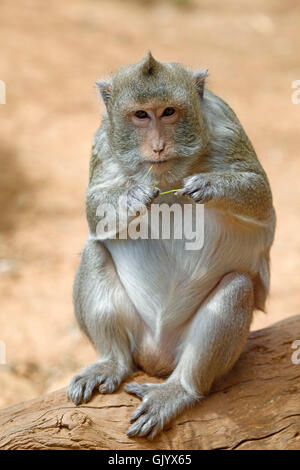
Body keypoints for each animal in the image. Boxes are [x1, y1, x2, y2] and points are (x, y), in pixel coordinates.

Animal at [67, 53, 274, 438]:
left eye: (168, 112)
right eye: (141, 115)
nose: (158, 146)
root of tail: (157, 357)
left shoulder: (225, 124)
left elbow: (261, 196)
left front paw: (209, 186)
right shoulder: (102, 141)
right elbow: (94, 209)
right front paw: (133, 196)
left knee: (237, 286)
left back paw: (180, 389)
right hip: (137, 335)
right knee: (94, 251)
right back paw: (111, 362)